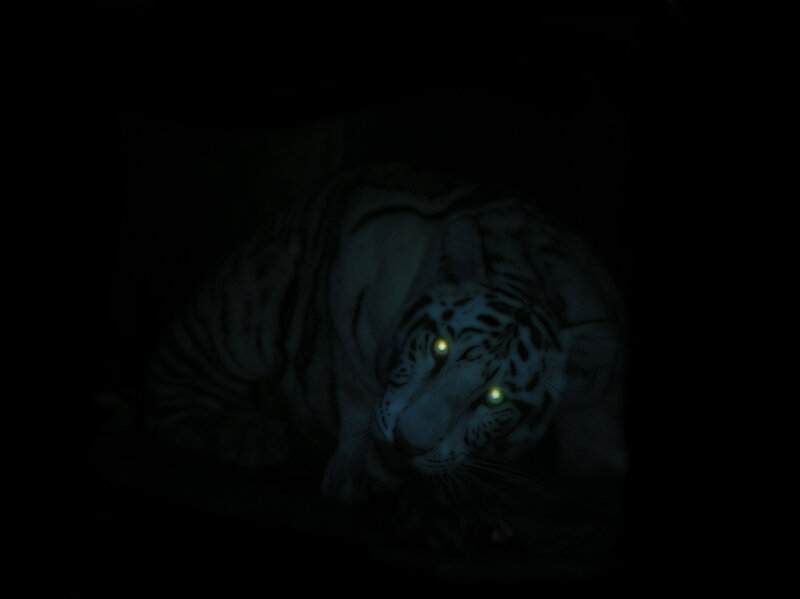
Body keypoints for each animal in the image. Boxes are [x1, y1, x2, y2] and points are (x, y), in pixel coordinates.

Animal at [131, 164, 628, 513]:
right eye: (439, 348)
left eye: (494, 397)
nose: (408, 445)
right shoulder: (357, 257)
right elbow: (356, 392)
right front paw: (355, 470)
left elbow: (599, 424)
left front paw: (602, 463)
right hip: (245, 309)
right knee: (165, 401)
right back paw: (252, 436)